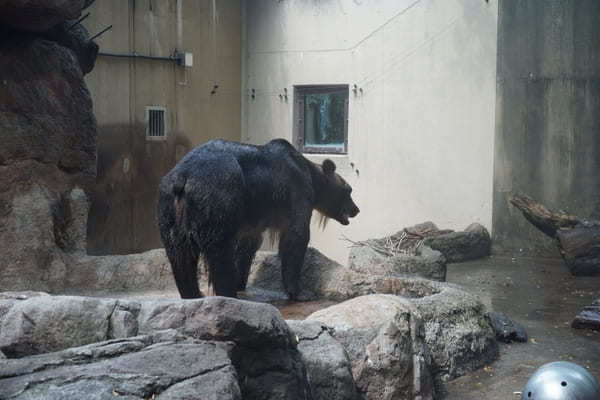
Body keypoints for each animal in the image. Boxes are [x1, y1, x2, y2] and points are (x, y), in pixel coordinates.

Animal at [157, 139, 358, 298]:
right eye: (348, 190)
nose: (356, 209)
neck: (312, 178)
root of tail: (183, 177)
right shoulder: (296, 193)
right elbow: (296, 236)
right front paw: (300, 291)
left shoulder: (254, 216)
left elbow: (248, 245)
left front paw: (241, 280)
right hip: (216, 197)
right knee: (219, 250)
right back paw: (226, 292)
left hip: (168, 207)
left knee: (179, 253)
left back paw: (193, 293)